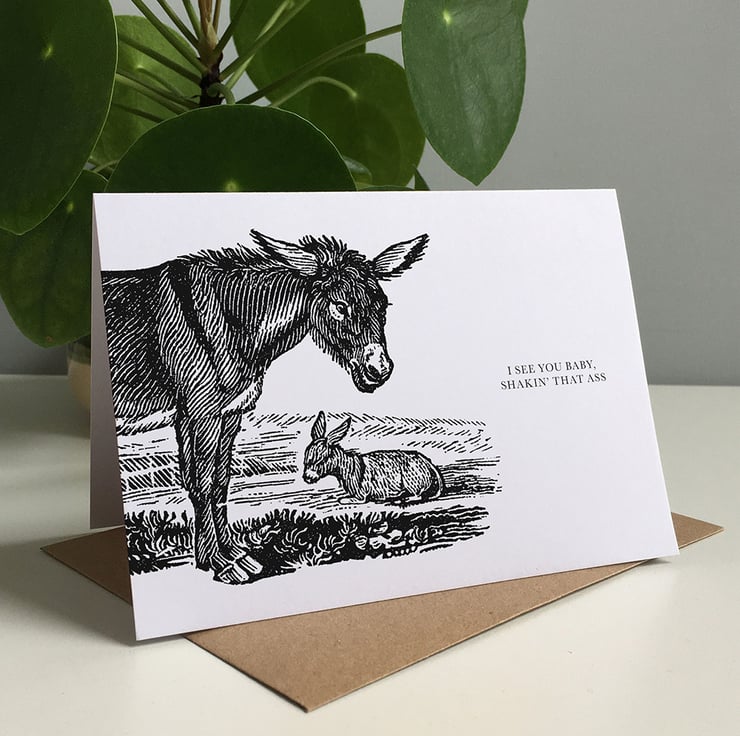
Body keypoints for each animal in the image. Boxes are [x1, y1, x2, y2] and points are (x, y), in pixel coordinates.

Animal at [101, 229, 429, 583]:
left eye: (383, 305)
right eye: (340, 306)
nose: (378, 370)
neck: (230, 320)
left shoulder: (227, 413)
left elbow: (218, 483)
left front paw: (231, 555)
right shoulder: (202, 413)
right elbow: (202, 484)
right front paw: (220, 563)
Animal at [302, 412, 445, 505]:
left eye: (322, 459)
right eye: (305, 459)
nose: (307, 477)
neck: (347, 467)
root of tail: (429, 464)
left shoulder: (360, 496)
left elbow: (346, 500)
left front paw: (342, 499)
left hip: (411, 482)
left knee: (418, 496)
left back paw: (402, 499)